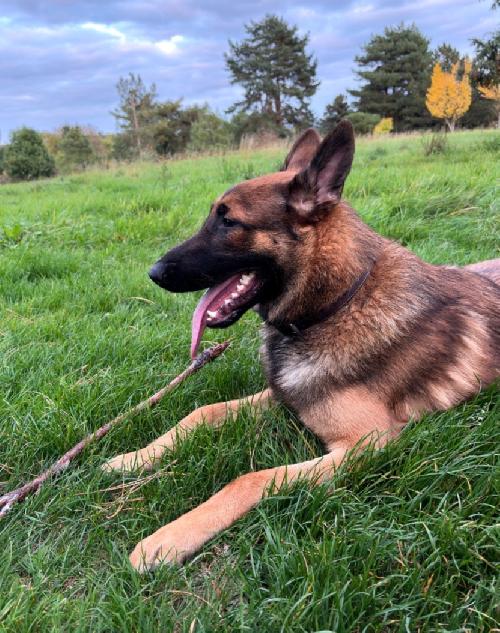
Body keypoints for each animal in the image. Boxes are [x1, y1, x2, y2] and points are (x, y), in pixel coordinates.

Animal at [104, 121, 500, 572]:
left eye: (229, 221)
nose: (153, 273)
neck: (336, 304)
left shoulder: (369, 443)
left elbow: (250, 478)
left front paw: (169, 537)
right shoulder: (284, 395)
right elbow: (202, 412)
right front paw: (133, 458)